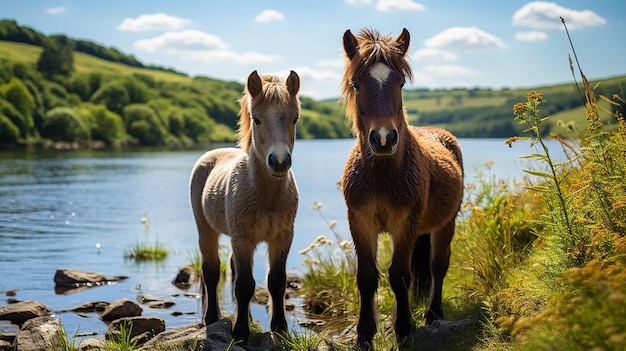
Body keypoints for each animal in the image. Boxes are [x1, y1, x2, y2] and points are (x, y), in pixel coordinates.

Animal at [338, 28, 460, 350]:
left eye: (401, 82)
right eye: (356, 84)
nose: (383, 139)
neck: (382, 175)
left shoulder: (404, 225)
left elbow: (400, 276)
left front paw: (404, 330)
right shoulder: (360, 222)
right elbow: (367, 277)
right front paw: (365, 333)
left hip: (446, 224)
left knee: (438, 266)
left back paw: (433, 314)